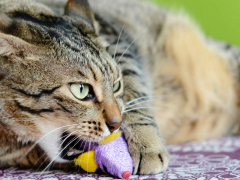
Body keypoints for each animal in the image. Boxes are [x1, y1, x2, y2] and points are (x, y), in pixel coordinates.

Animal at [0, 0, 239, 176]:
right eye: (80, 90)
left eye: (116, 85)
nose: (116, 124)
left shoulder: (119, 42)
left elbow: (136, 98)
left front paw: (146, 145)